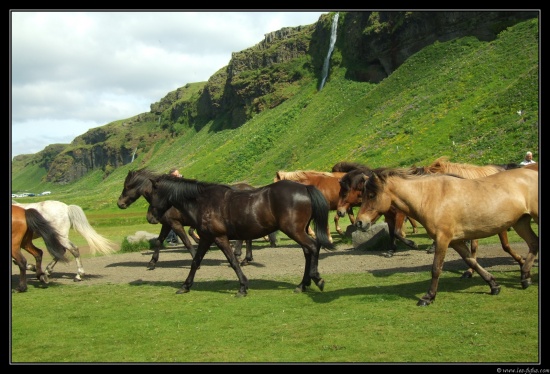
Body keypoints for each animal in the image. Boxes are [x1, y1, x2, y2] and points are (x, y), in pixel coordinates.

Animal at [118, 169, 278, 268]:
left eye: (127, 186)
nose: (120, 204)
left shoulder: (176, 224)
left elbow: (187, 242)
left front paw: (197, 257)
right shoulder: (168, 224)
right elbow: (159, 241)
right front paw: (152, 262)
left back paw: (241, 256)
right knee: (247, 239)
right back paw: (246, 258)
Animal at [147, 173, 334, 298]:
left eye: (152, 194)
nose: (151, 217)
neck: (203, 202)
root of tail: (304, 188)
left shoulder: (219, 237)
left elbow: (233, 261)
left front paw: (243, 287)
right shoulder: (207, 238)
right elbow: (195, 261)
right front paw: (185, 286)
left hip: (294, 230)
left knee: (312, 247)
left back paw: (316, 278)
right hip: (299, 230)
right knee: (308, 251)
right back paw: (303, 284)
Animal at [356, 167, 540, 306]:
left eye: (371, 195)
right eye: (362, 195)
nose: (359, 222)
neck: (430, 197)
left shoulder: (443, 239)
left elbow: (436, 268)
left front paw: (428, 297)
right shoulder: (456, 241)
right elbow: (471, 261)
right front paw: (493, 285)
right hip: (521, 222)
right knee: (534, 243)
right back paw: (525, 277)